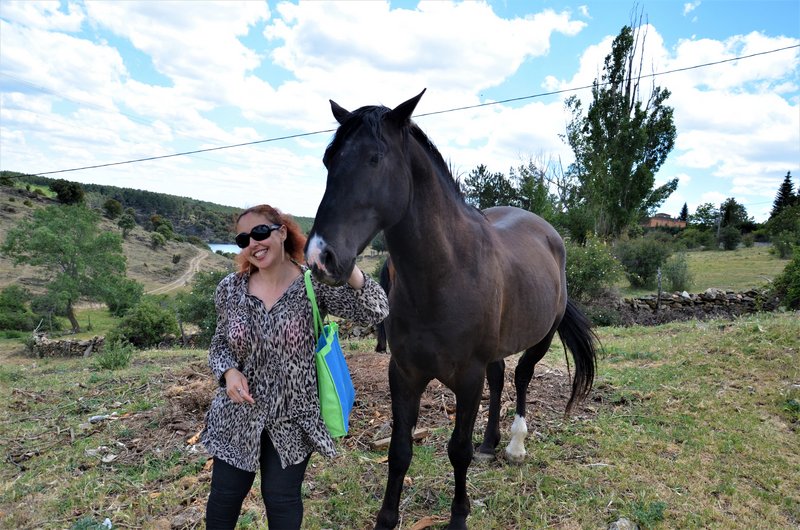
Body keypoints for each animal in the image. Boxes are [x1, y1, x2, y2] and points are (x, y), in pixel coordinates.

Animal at [304, 91, 596, 528]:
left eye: (375, 158)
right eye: (328, 160)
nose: (320, 257)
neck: (446, 273)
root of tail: (548, 232)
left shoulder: (467, 378)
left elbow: (458, 450)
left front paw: (459, 515)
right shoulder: (404, 374)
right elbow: (399, 451)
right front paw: (387, 517)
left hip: (542, 335)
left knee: (522, 377)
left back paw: (515, 445)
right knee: (500, 377)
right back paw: (490, 443)